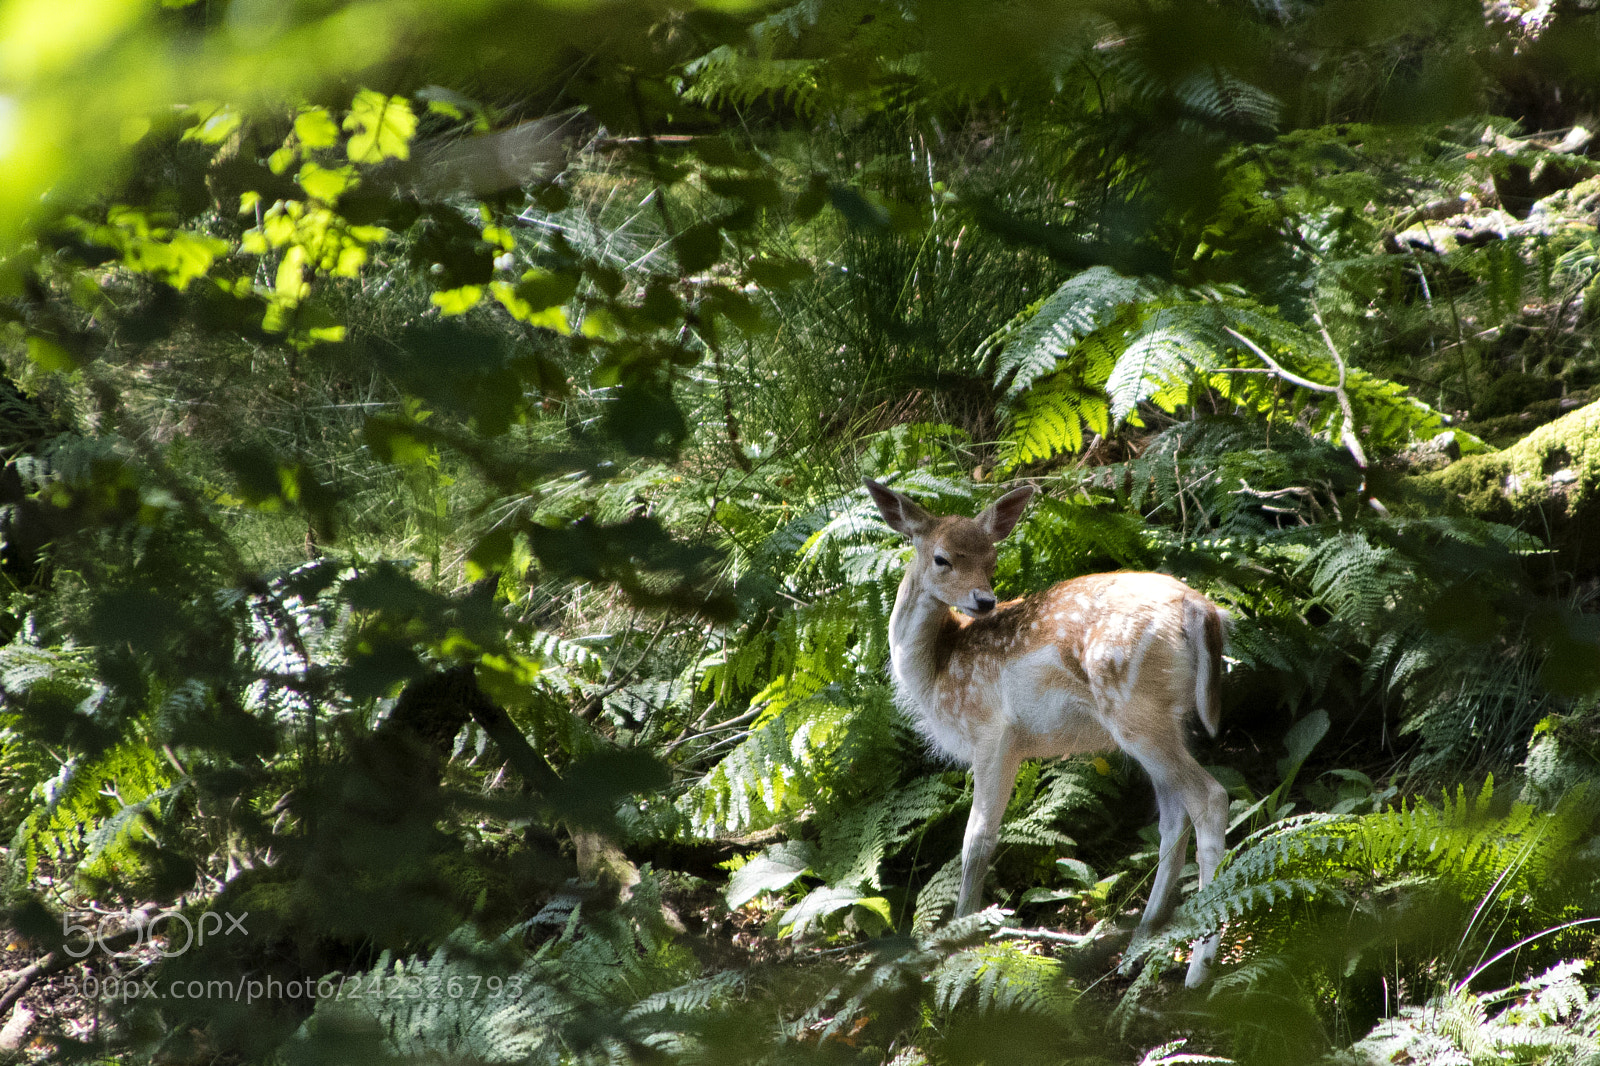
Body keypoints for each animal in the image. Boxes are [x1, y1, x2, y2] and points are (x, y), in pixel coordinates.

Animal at [863, 478, 1229, 986]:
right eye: (942, 558)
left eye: (992, 559)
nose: (984, 601)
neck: (936, 670)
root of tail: (1202, 609)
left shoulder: (994, 734)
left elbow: (976, 839)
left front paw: (961, 938)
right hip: (1166, 719)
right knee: (1173, 818)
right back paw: (1136, 951)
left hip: (1133, 710)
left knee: (1209, 799)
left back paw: (1198, 971)